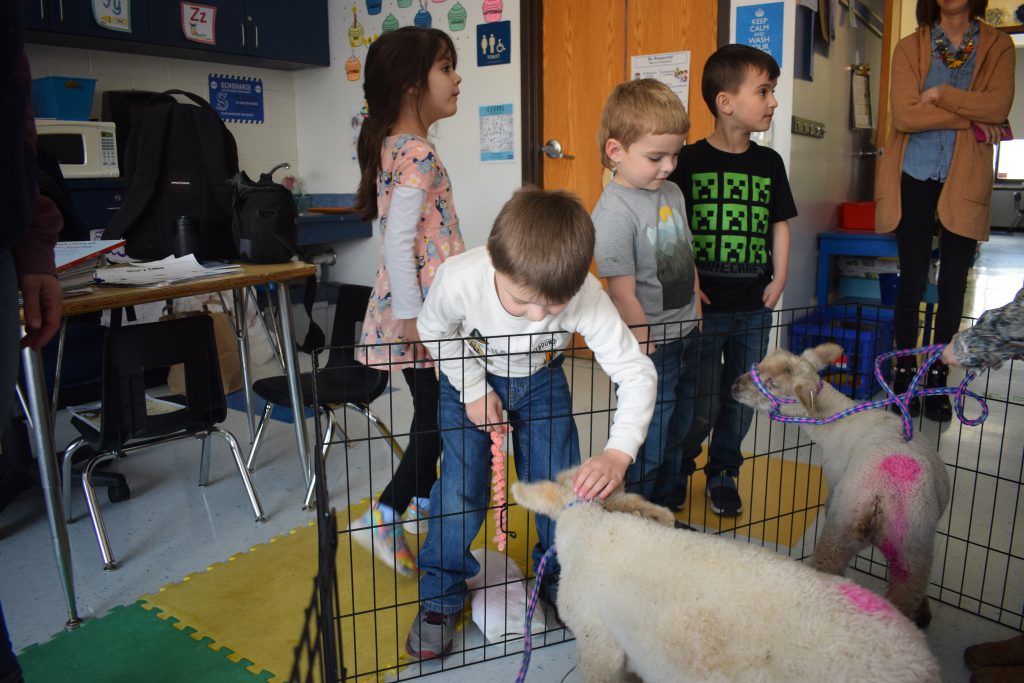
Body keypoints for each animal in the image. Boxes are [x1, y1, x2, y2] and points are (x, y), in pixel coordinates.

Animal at [729, 344, 950, 626]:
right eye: (762, 363)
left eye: (772, 384)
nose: (734, 385)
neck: (836, 423)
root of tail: (881, 495)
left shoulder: (833, 481)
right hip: (912, 548)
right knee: (907, 593)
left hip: (843, 521)